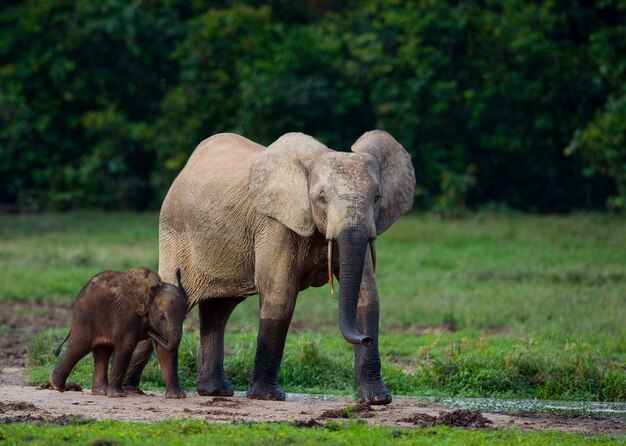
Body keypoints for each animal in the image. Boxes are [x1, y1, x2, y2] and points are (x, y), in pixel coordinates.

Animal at [49, 266, 186, 398]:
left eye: (184, 318)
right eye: (162, 317)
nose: (150, 333)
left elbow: (165, 352)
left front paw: (176, 396)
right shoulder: (126, 312)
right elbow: (126, 345)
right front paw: (117, 395)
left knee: (103, 351)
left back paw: (100, 392)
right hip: (85, 314)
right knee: (80, 346)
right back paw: (57, 386)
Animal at [123, 132, 412, 404]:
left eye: (377, 198)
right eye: (321, 198)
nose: (365, 338)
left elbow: (367, 294)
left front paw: (377, 400)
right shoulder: (274, 224)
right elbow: (280, 294)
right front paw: (268, 397)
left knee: (218, 310)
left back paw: (212, 391)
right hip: (176, 237)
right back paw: (128, 390)